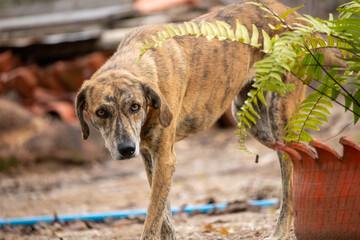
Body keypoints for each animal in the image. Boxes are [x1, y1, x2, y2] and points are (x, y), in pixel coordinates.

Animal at [75, 0, 344, 239]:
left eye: (134, 107)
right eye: (101, 112)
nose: (127, 149)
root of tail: (294, 16)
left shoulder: (165, 159)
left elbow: (152, 218)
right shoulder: (151, 157)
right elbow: (164, 217)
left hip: (280, 117)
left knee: (290, 176)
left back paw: (281, 231)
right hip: (252, 120)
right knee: (308, 152)